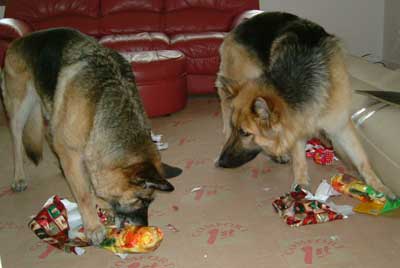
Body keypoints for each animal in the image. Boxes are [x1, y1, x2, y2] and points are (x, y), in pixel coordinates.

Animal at [0, 28, 182, 244]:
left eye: (150, 201)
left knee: (48, 135)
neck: (100, 109)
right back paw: (19, 177)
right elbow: (84, 194)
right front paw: (93, 226)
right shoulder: (72, 150)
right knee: (16, 139)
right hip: (20, 108)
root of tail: (19, 39)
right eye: (142, 200)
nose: (143, 228)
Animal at [214, 11, 396, 198]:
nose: (221, 161)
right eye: (237, 129)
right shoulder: (296, 124)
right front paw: (301, 183)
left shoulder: (340, 126)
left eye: (245, 133)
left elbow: (362, 159)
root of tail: (245, 21)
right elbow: (299, 160)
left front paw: (379, 187)